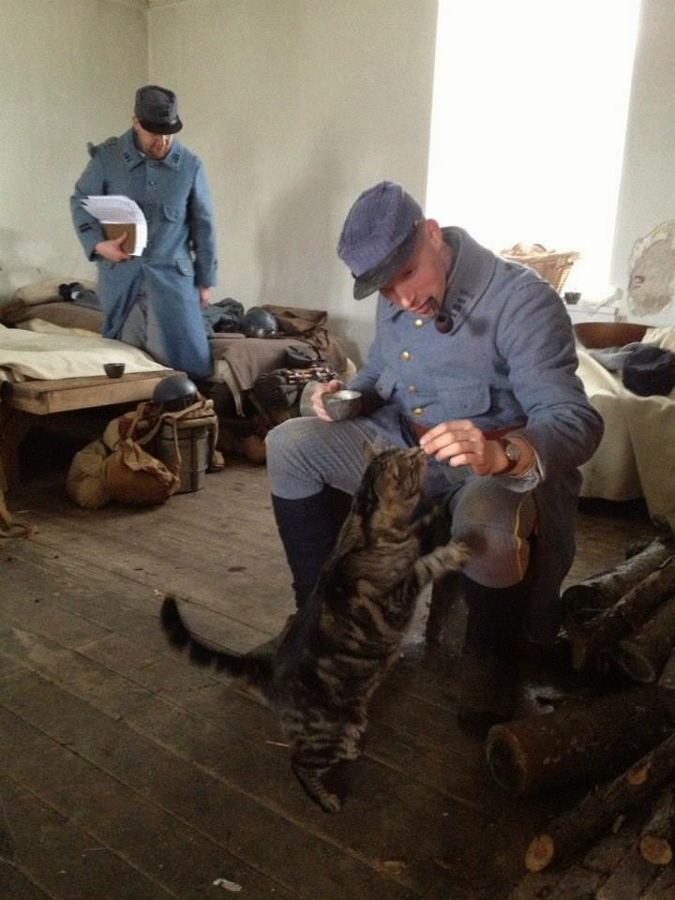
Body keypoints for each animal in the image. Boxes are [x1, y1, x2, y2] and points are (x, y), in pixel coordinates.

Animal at [163, 444, 470, 816]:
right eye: (410, 461)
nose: (421, 448)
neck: (366, 523)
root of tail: (270, 673)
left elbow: (420, 527)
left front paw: (437, 510)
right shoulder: (399, 595)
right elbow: (426, 564)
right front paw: (453, 551)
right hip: (336, 733)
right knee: (300, 765)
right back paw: (326, 799)